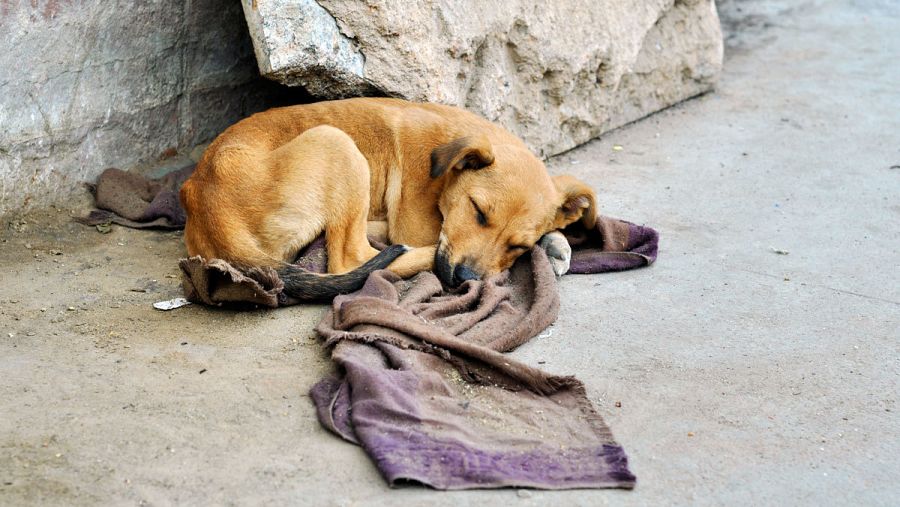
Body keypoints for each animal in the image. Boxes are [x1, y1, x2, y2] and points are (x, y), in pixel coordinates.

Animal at [179, 97, 596, 300]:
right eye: (477, 211)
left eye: (517, 245)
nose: (464, 279)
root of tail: (205, 203)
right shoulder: (419, 224)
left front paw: (554, 242)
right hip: (337, 143)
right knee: (352, 259)